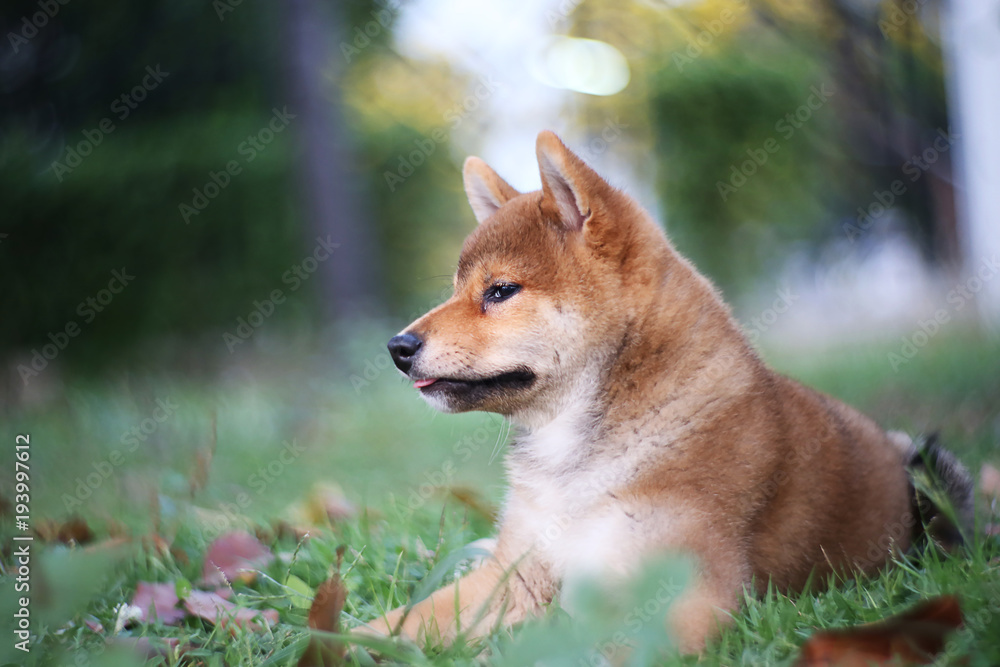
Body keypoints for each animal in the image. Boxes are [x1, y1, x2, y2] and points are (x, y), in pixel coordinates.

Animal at [372, 130, 964, 652]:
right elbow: (392, 623)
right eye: (455, 290)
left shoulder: (683, 597)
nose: (398, 346)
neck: (578, 463)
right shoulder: (514, 577)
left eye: (500, 291)